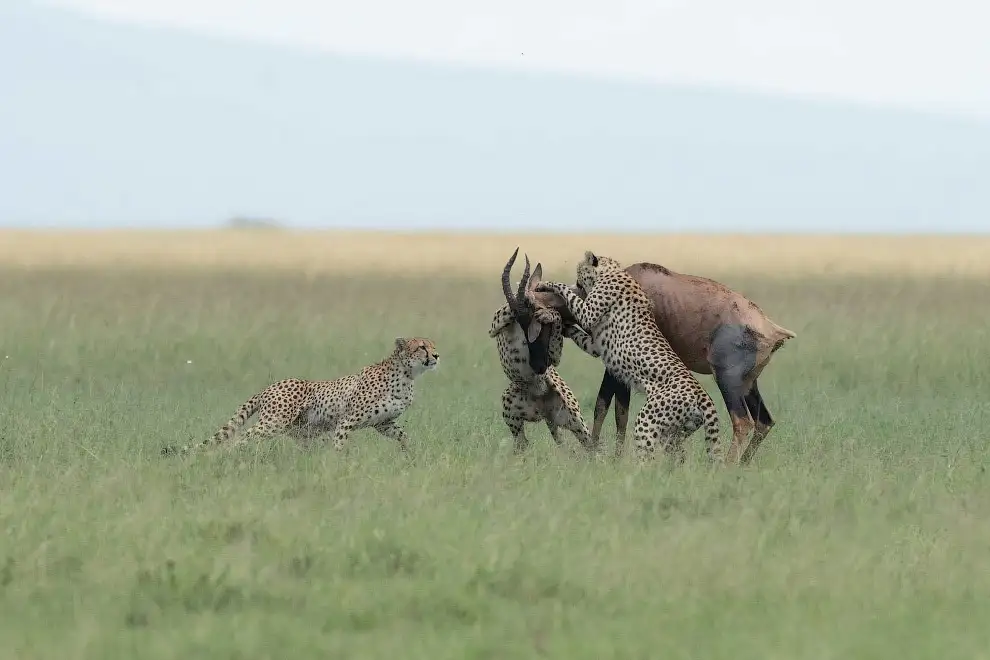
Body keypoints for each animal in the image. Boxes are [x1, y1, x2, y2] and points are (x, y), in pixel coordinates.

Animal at [161, 338, 440, 456]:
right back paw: (227, 458)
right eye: (422, 347)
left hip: (301, 433)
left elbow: (403, 436)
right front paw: (339, 466)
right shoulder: (347, 421)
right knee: (240, 439)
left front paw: (410, 455)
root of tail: (269, 386)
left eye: (433, 345)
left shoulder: (384, 424)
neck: (407, 375)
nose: (437, 355)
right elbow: (339, 445)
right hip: (273, 423)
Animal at [490, 248, 600, 454]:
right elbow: (507, 310)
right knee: (523, 445)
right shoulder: (494, 327)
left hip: (574, 420)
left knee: (590, 446)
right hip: (516, 417)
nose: (539, 365)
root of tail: (544, 412)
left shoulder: (552, 356)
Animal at [540, 253, 724, 464]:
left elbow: (567, 294)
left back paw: (632, 470)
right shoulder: (595, 345)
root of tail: (703, 394)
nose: (577, 281)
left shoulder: (588, 313)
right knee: (678, 457)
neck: (611, 271)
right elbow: (579, 334)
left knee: (647, 457)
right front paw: (562, 324)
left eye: (579, 269)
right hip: (675, 433)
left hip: (647, 420)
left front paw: (548, 284)